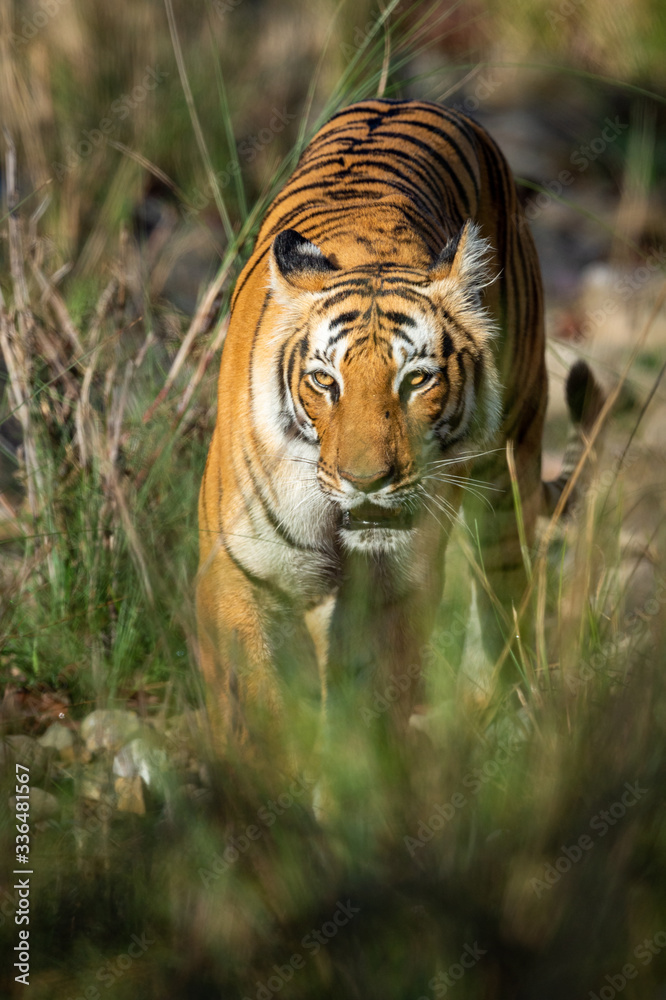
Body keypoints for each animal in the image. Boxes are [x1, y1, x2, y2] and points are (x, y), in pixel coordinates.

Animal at [196, 97, 595, 756]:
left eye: (416, 380)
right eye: (324, 381)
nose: (366, 482)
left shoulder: (397, 586)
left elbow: (370, 704)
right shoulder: (242, 575)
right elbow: (260, 710)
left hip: (512, 463)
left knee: (503, 595)